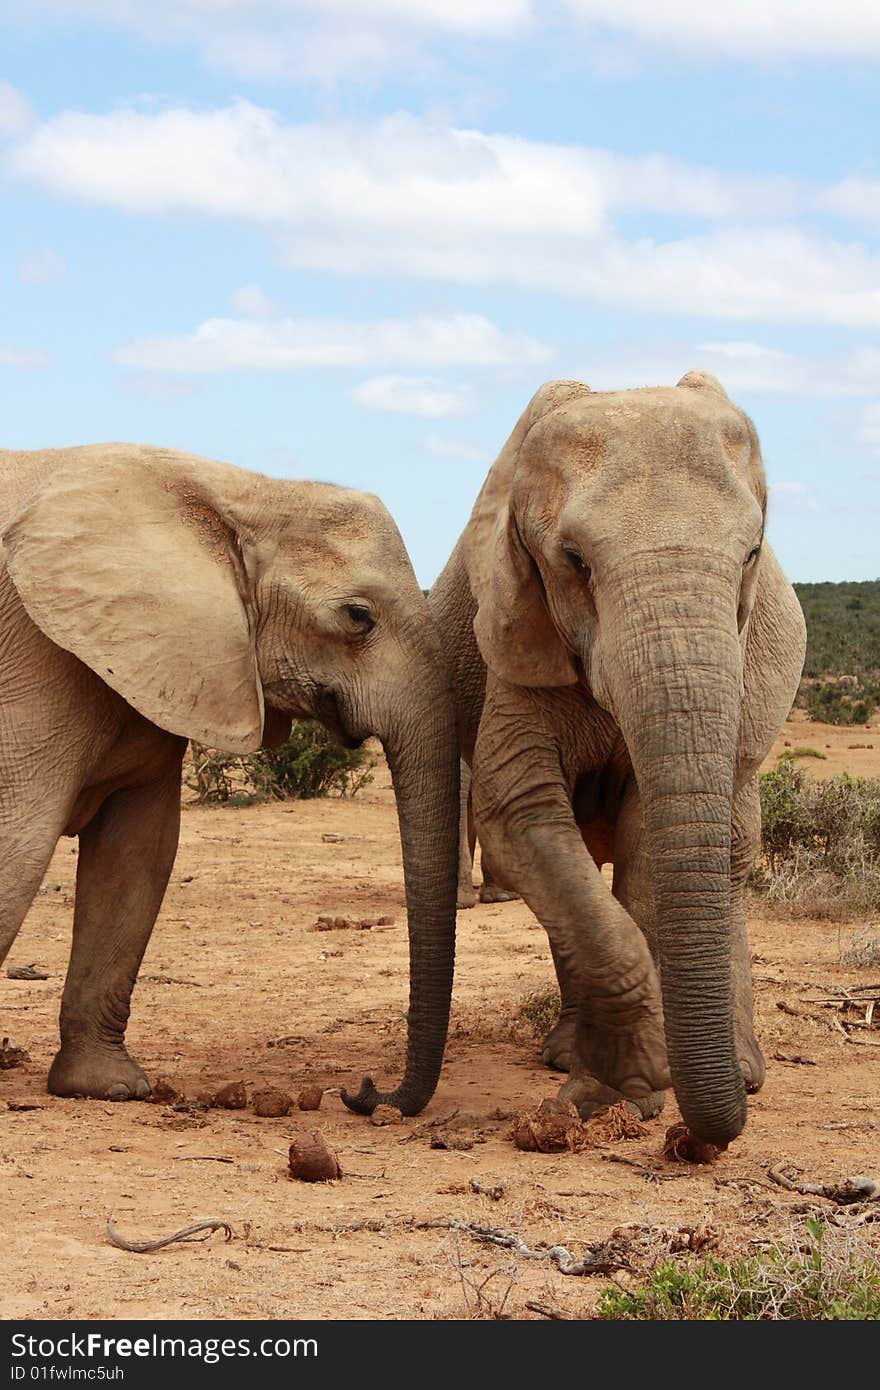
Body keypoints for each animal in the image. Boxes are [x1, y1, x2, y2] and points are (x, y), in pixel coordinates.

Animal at [0, 444, 464, 1117]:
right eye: (358, 618)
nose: (362, 1091)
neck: (244, 494)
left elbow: (138, 855)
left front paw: (108, 1088)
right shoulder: (35, 659)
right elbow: (18, 840)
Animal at [428, 369, 806, 1139]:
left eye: (751, 555)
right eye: (573, 562)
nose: (707, 1135)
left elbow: (652, 846)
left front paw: (635, 1087)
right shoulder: (518, 633)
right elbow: (521, 813)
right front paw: (624, 1086)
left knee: (733, 850)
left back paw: (745, 1074)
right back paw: (563, 1056)